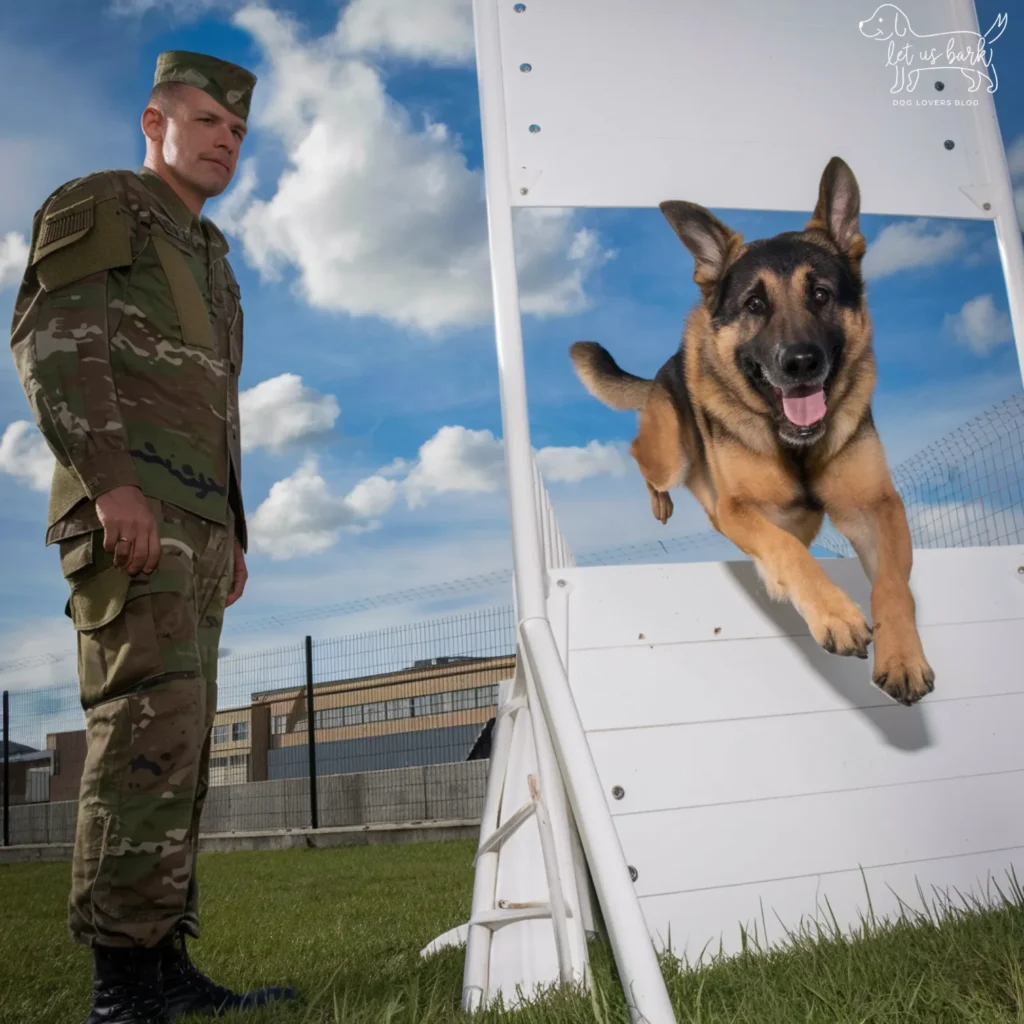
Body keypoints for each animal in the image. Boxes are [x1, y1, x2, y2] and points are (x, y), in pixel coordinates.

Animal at [569, 155, 937, 708]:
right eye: (754, 305)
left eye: (821, 295)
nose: (801, 362)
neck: (795, 446)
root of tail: (666, 366)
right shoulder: (740, 508)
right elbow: (786, 550)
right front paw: (835, 613)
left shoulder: (877, 507)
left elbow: (893, 583)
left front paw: (903, 656)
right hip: (669, 452)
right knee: (643, 457)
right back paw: (661, 502)